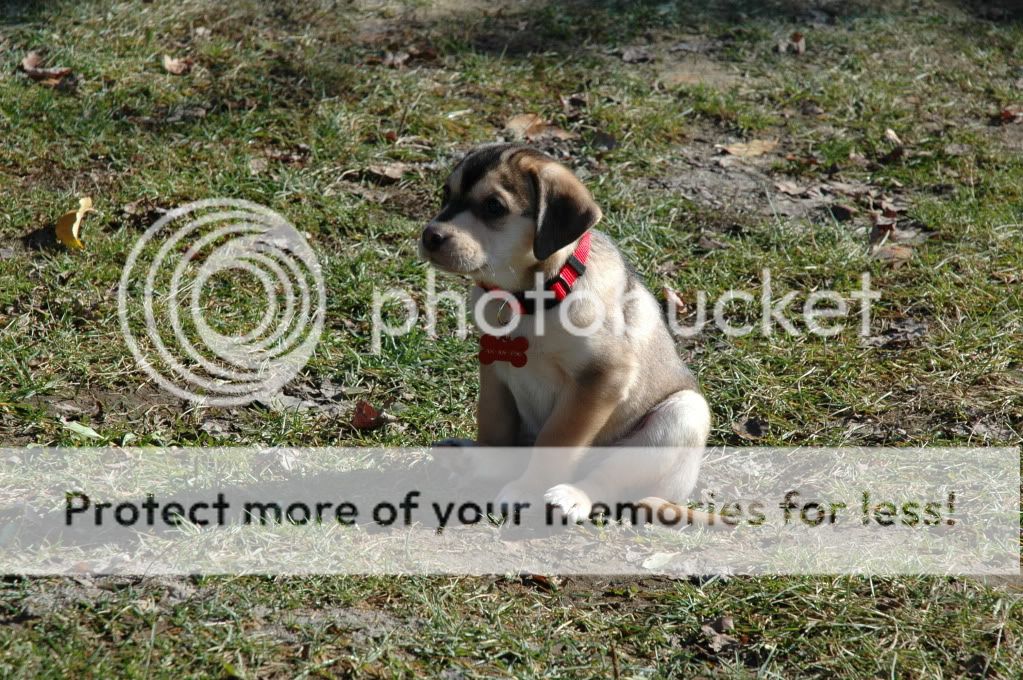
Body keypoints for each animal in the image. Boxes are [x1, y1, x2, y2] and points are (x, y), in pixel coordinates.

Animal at [415, 143, 712, 523]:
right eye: (446, 194)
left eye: (494, 207)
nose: (430, 236)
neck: (530, 300)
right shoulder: (493, 367)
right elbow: (494, 423)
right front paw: (486, 457)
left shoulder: (601, 378)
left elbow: (553, 442)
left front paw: (528, 490)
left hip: (683, 416)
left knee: (607, 482)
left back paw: (572, 496)